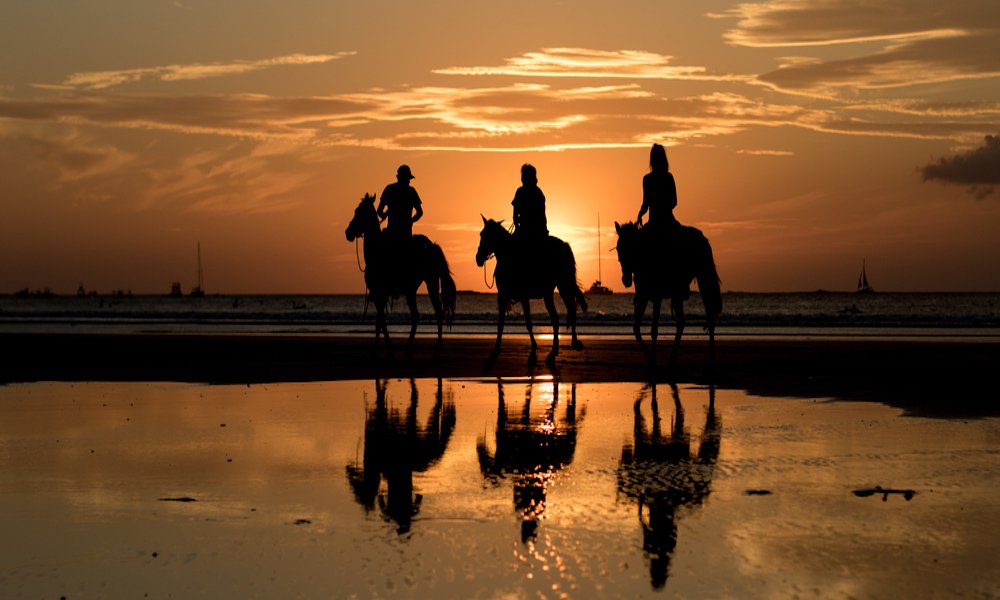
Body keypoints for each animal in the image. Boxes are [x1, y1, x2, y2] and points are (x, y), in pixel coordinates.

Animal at [342, 195, 456, 356]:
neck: (375, 251)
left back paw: (425, 348)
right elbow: (378, 321)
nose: (348, 232)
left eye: (359, 212)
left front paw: (387, 347)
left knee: (428, 314)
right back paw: (420, 347)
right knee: (426, 314)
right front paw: (378, 347)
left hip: (424, 285)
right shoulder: (379, 295)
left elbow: (381, 321)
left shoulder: (378, 293)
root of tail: (432, 246)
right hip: (419, 287)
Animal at [474, 216, 584, 366]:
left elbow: (528, 322)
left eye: (489, 235)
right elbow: (500, 323)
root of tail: (564, 245)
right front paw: (496, 349)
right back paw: (561, 348)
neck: (508, 256)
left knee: (565, 313)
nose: (478, 258)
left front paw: (533, 351)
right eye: (481, 234)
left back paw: (563, 347)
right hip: (555, 290)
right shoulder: (502, 295)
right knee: (561, 314)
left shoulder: (523, 296)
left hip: (561, 286)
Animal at [612, 221, 724, 366]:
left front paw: (652, 356)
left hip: (702, 278)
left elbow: (654, 330)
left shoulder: (656, 296)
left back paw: (710, 355)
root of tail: (702, 237)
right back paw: (673, 356)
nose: (626, 280)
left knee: (709, 313)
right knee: (681, 322)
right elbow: (636, 328)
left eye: (631, 247)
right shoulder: (643, 295)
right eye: (619, 249)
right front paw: (649, 356)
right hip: (677, 293)